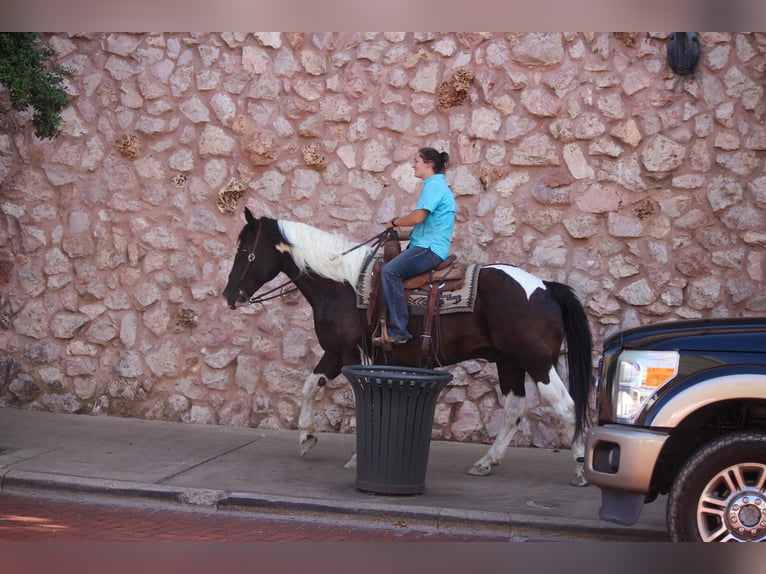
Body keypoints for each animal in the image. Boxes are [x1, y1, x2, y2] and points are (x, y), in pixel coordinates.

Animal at [222, 207, 592, 486]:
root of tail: (544, 286)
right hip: (509, 362)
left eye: (244, 251)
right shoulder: (336, 354)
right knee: (515, 409)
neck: (341, 286)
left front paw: (356, 456)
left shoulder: (358, 356)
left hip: (538, 362)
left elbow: (364, 402)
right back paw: (486, 462)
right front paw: (306, 437)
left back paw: (579, 469)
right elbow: (311, 385)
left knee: (567, 407)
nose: (228, 296)